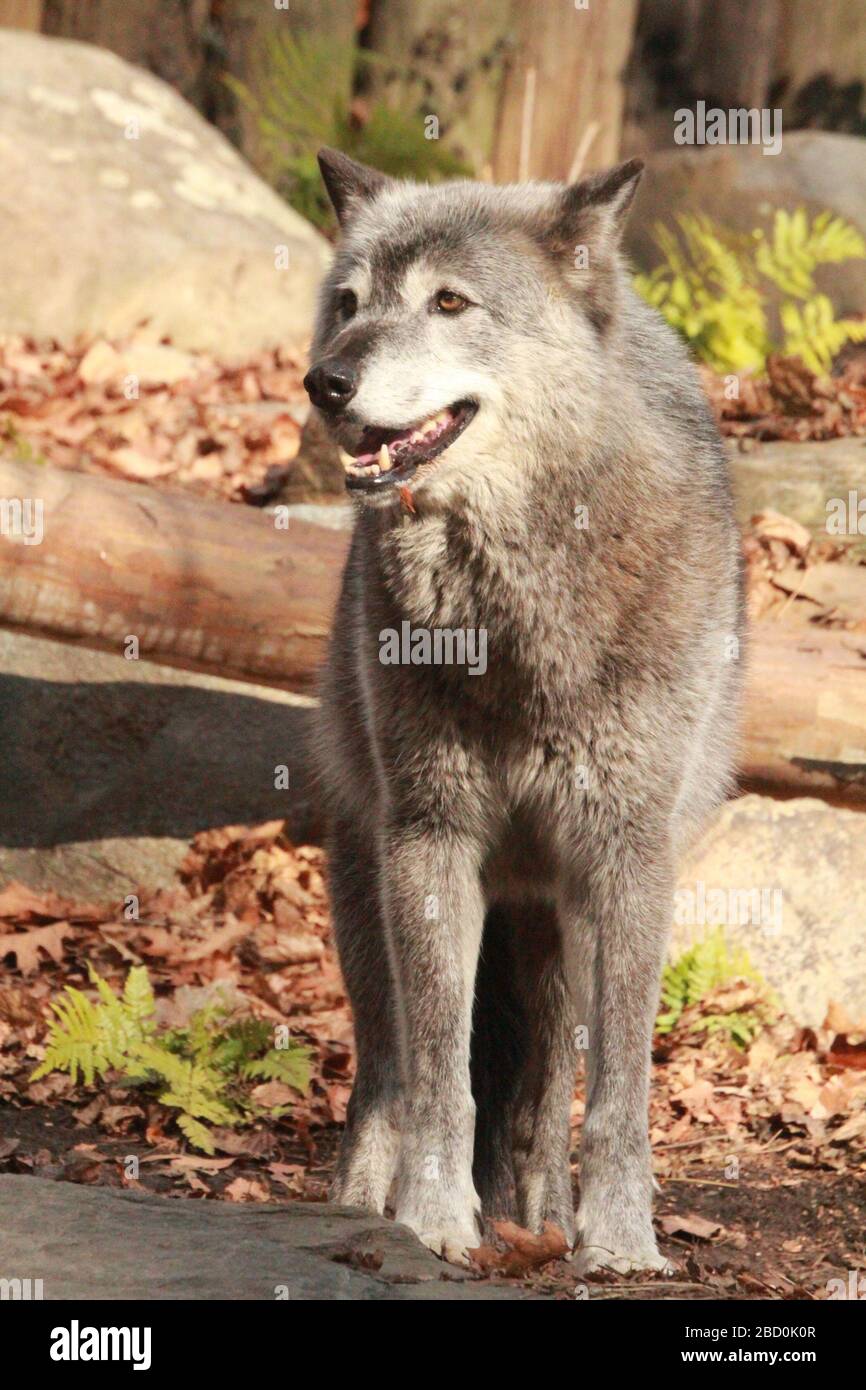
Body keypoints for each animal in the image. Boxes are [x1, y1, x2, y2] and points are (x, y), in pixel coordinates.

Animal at [304, 149, 745, 1273]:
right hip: (367, 886)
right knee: (383, 1072)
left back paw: (543, 1219)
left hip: (558, 926)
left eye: (450, 303)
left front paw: (621, 1241)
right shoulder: (430, 839)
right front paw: (428, 1219)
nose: (325, 382)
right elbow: (437, 1074)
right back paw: (358, 1205)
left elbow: (618, 1094)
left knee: (547, 1094)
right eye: (348, 304)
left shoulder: (628, 858)